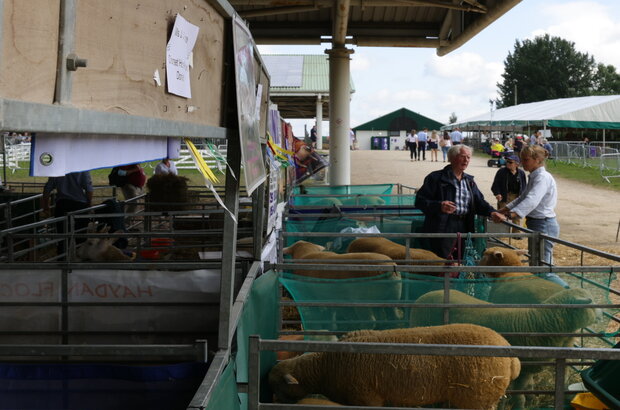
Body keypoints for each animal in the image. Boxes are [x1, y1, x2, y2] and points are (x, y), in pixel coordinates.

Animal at [268, 324, 520, 410]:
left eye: (278, 384)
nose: (273, 401)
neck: (325, 367)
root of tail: (512, 358)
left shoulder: (367, 398)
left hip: (479, 399)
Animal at [410, 286, 600, 408]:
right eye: (590, 302)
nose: (602, 315)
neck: (538, 322)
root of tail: (423, 296)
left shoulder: (529, 368)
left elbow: (529, 388)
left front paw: (531, 400)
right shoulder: (521, 369)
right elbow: (519, 396)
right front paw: (520, 406)